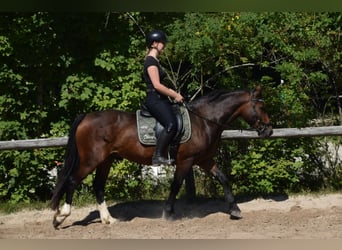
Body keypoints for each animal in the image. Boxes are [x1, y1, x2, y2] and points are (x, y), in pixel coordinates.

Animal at [50, 85, 272, 229]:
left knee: (98, 186)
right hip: (91, 160)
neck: (204, 121)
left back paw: (108, 220)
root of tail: (86, 117)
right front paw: (168, 213)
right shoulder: (186, 161)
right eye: (262, 107)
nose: (269, 131)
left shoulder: (204, 160)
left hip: (105, 160)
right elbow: (176, 184)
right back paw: (60, 217)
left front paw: (235, 210)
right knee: (72, 181)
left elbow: (223, 178)